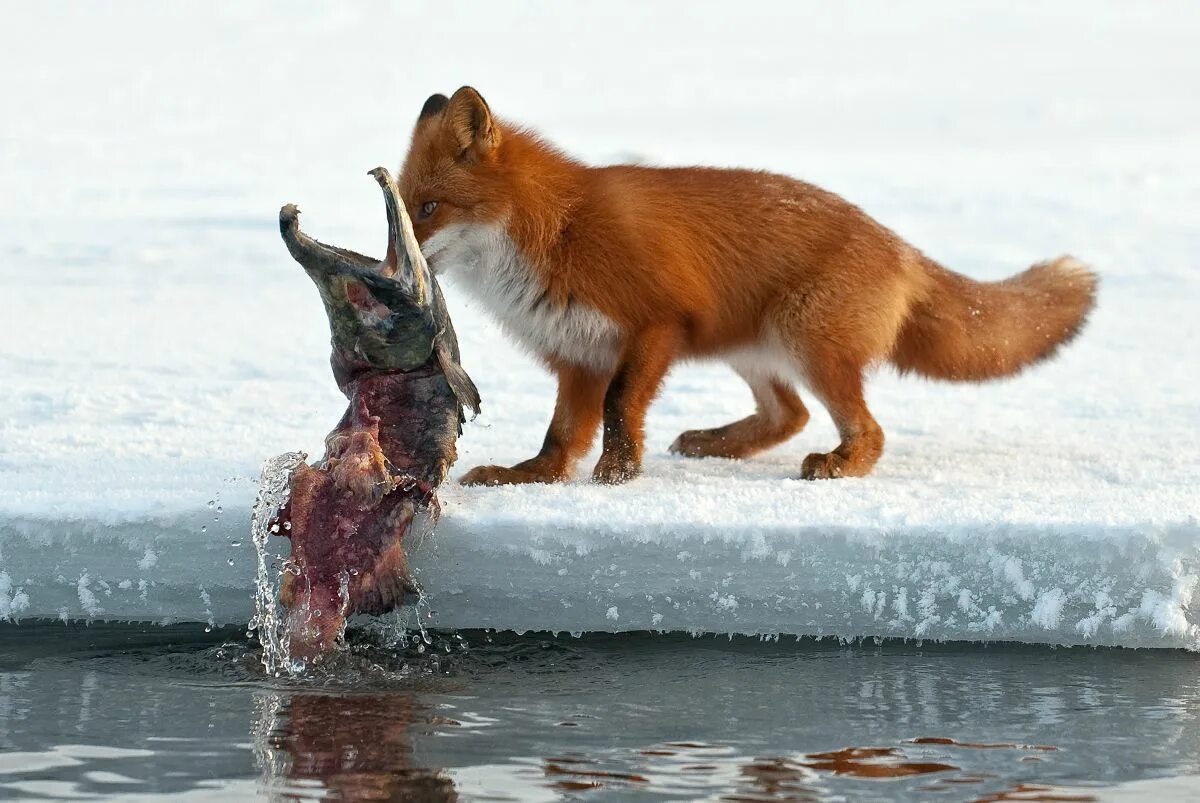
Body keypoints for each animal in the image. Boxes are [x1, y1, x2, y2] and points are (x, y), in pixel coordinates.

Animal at [396, 90, 1099, 484]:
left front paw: (618, 473)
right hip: (750, 347)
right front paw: (531, 477)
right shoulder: (578, 354)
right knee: (789, 414)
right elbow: (561, 435)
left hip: (807, 341)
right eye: (402, 202)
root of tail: (897, 244)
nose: (388, 258)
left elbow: (621, 408)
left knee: (863, 430)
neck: (558, 230)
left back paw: (839, 464)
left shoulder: (657, 325)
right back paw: (715, 445)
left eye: (428, 208)